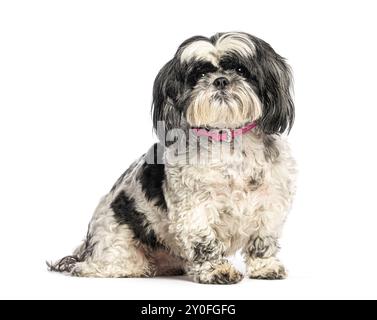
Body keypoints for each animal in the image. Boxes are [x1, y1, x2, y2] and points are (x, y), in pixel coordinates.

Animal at [49, 31, 296, 284]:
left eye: (240, 69)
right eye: (200, 74)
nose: (220, 80)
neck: (228, 142)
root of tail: (87, 248)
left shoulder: (271, 201)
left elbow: (263, 240)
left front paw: (266, 266)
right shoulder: (194, 207)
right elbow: (204, 242)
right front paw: (216, 270)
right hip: (118, 244)